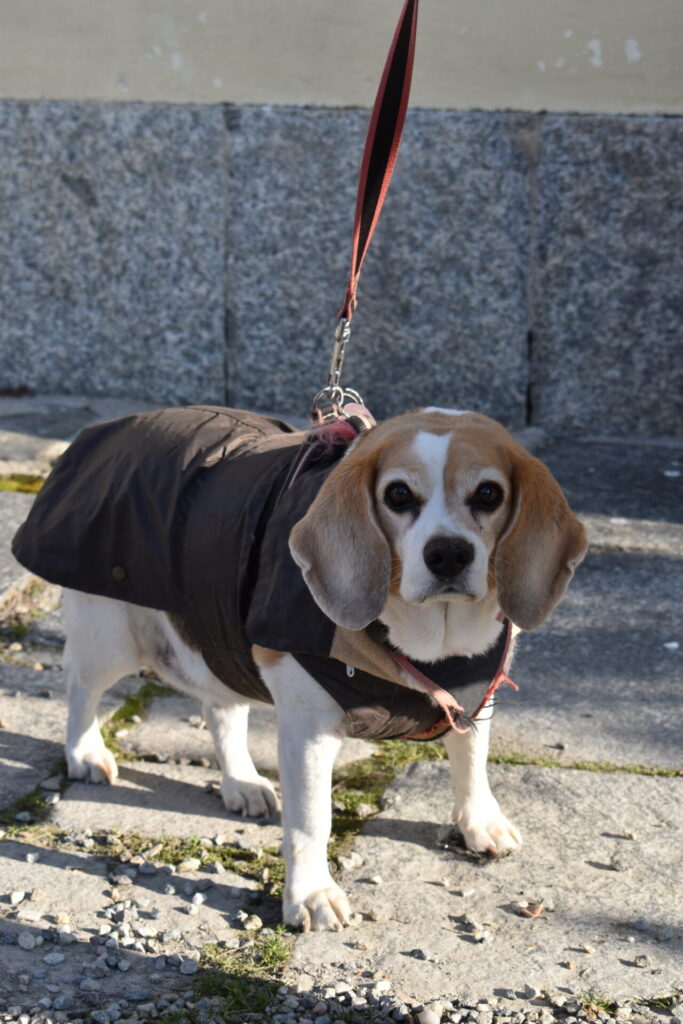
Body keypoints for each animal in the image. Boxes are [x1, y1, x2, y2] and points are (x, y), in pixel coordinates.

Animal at [34, 405, 585, 929]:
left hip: (218, 631)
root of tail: (108, 427)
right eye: (398, 495)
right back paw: (85, 753)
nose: (448, 553)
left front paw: (479, 822)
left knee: (221, 710)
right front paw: (311, 895)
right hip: (110, 637)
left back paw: (240, 781)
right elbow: (310, 821)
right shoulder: (308, 734)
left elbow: (471, 763)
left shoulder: (473, 698)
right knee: (80, 687)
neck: (426, 645)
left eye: (489, 493)